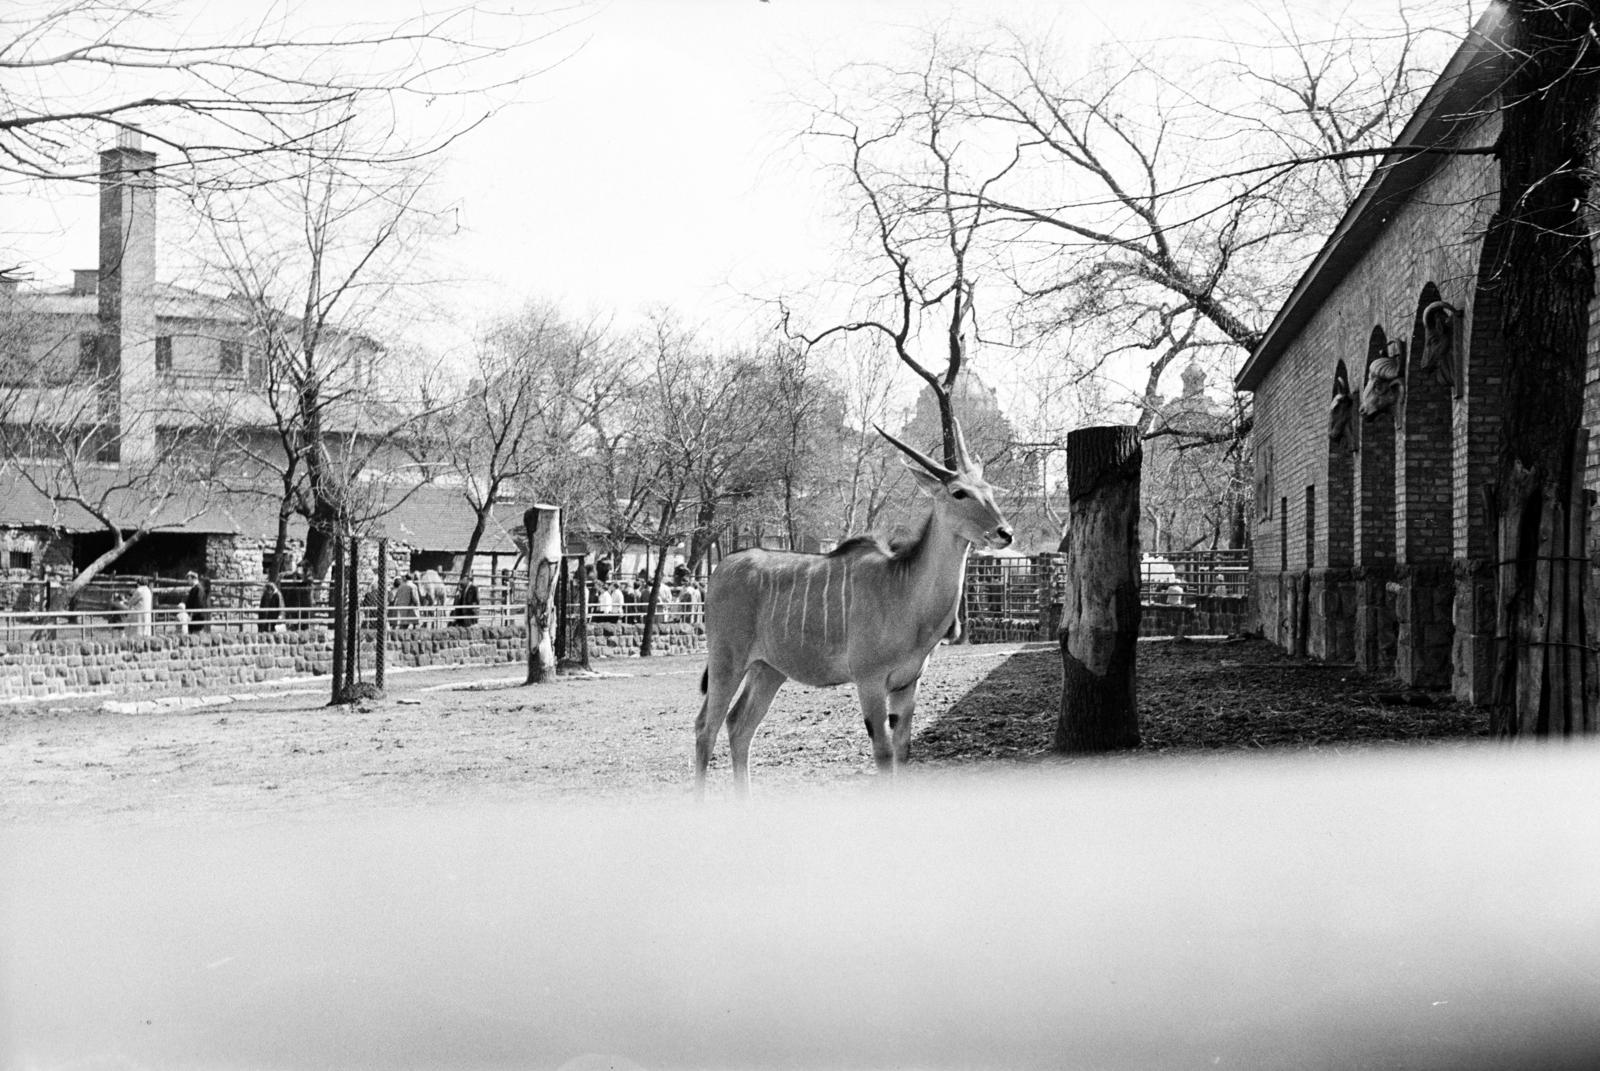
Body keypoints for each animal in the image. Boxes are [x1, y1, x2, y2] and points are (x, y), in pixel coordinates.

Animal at [694, 421, 1013, 794]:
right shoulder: (869, 681)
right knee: (706, 727)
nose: (1005, 533)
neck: (903, 588)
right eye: (959, 492)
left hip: (768, 670)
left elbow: (903, 752)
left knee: (739, 726)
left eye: (988, 490)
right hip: (726, 663)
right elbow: (883, 755)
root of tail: (721, 569)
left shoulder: (908, 684)